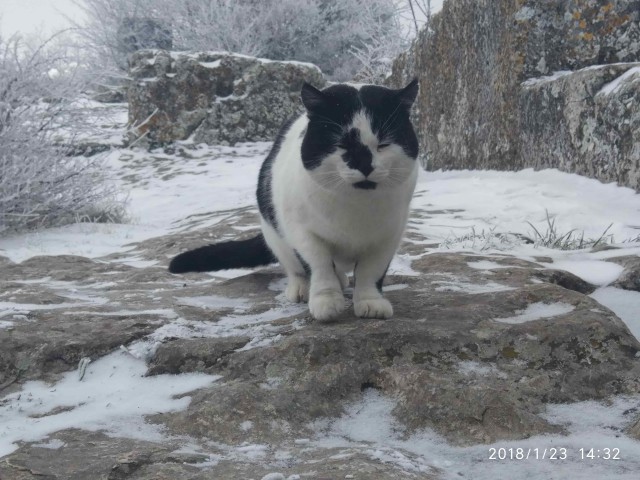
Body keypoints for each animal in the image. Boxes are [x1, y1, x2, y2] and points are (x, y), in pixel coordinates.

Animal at [170, 79, 420, 322]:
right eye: (341, 144)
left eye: (384, 144)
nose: (365, 166)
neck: (356, 208)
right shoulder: (300, 230)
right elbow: (319, 264)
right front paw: (325, 300)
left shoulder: (389, 236)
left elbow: (371, 270)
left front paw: (370, 302)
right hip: (274, 230)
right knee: (295, 266)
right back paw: (303, 288)